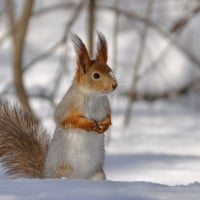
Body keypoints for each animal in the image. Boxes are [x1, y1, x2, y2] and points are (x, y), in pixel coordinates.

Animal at [0, 32, 117, 180]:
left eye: (110, 70)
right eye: (96, 75)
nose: (114, 85)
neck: (94, 96)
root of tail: (45, 176)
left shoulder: (105, 105)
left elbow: (109, 118)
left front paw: (104, 125)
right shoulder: (68, 105)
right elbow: (65, 119)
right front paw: (88, 124)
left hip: (98, 175)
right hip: (63, 171)